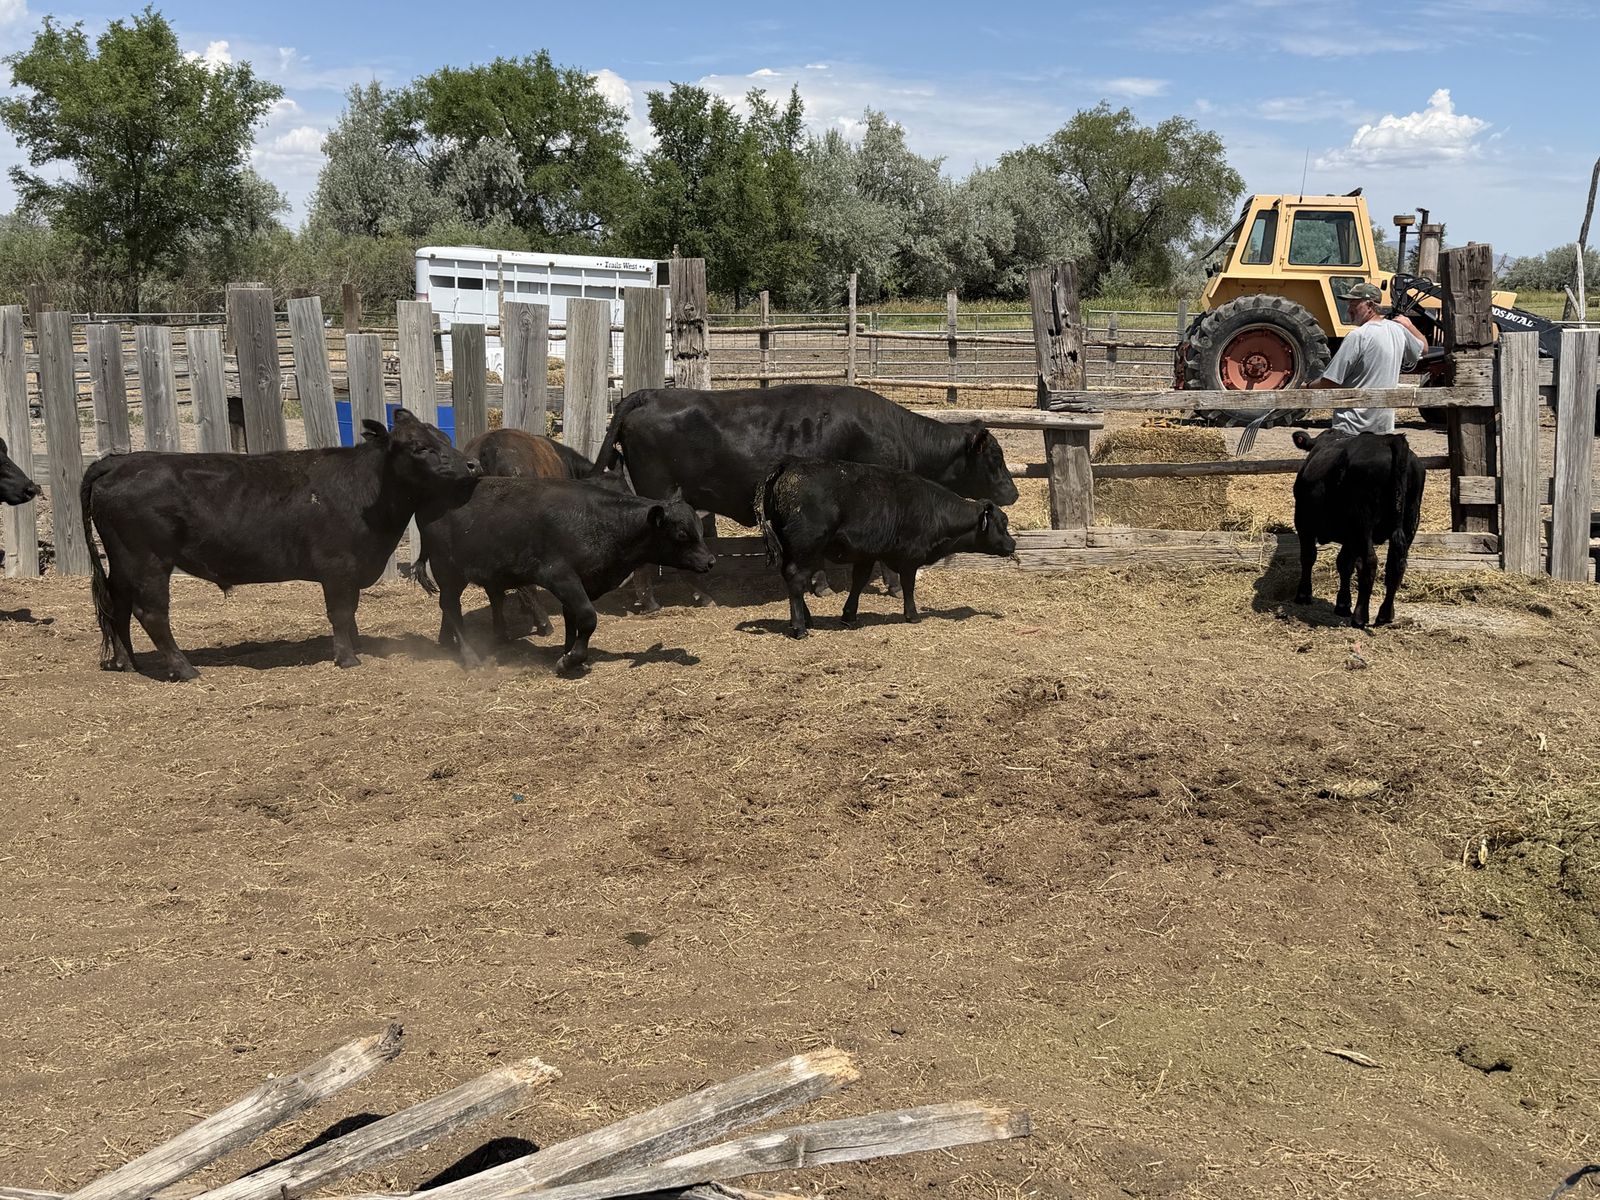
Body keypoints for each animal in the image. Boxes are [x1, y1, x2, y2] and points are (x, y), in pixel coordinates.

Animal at [80, 409, 479, 681]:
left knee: (117, 605)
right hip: (148, 562)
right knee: (151, 613)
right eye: (418, 447)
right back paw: (184, 668)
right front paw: (347, 657)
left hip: (123, 563)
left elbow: (350, 612)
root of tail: (119, 461)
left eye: (444, 439)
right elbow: (340, 612)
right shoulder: (336, 567)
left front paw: (355, 646)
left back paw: (127, 662)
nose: (472, 465)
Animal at [417, 478, 715, 673]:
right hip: (449, 571)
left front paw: (568, 652)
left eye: (700, 527)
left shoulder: (581, 583)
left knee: (483, 600)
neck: (601, 523)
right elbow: (587, 618)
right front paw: (570, 660)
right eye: (681, 533)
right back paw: (469, 656)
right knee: (450, 606)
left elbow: (572, 620)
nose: (710, 561)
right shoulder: (562, 578)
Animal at [591, 384, 1019, 607]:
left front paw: (821, 584)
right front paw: (894, 585)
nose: (1013, 493)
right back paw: (660, 601)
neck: (894, 433)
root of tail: (650, 395)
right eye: (995, 458)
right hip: (660, 494)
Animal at [758, 457, 1017, 638]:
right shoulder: (910, 559)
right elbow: (908, 586)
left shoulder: (867, 554)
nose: (1013, 544)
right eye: (1003, 523)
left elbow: (859, 582)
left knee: (792, 578)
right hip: (807, 548)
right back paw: (800, 627)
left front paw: (849, 615)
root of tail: (789, 465)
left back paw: (804, 620)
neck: (934, 510)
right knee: (796, 579)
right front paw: (912, 615)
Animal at [1290, 428, 1425, 628]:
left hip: (1363, 523)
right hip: (1409, 521)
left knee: (1369, 562)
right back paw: (1385, 614)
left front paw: (1303, 594)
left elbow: (1308, 557)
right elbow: (1345, 563)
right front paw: (1343, 604)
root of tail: (1390, 440)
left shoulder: (1303, 523)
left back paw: (1360, 616)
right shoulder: (1350, 536)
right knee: (1396, 564)